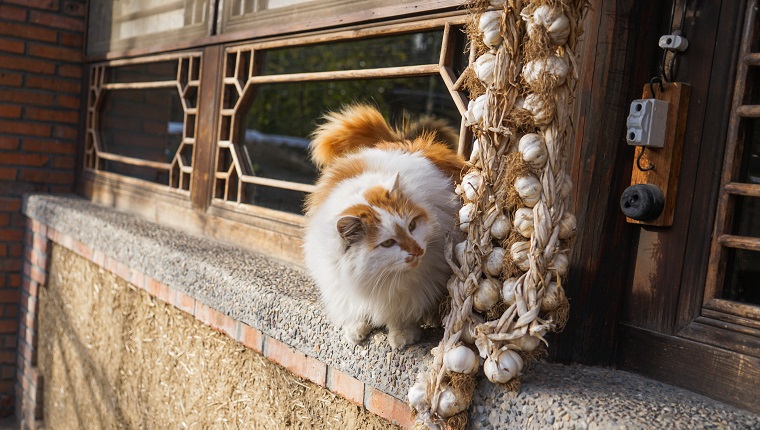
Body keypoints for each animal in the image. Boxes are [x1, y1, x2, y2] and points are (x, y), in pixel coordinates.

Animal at [302, 104, 464, 350]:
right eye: (387, 243)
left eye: (412, 226)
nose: (417, 250)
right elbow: (357, 311)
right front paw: (356, 329)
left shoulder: (418, 283)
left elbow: (402, 313)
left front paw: (402, 336)